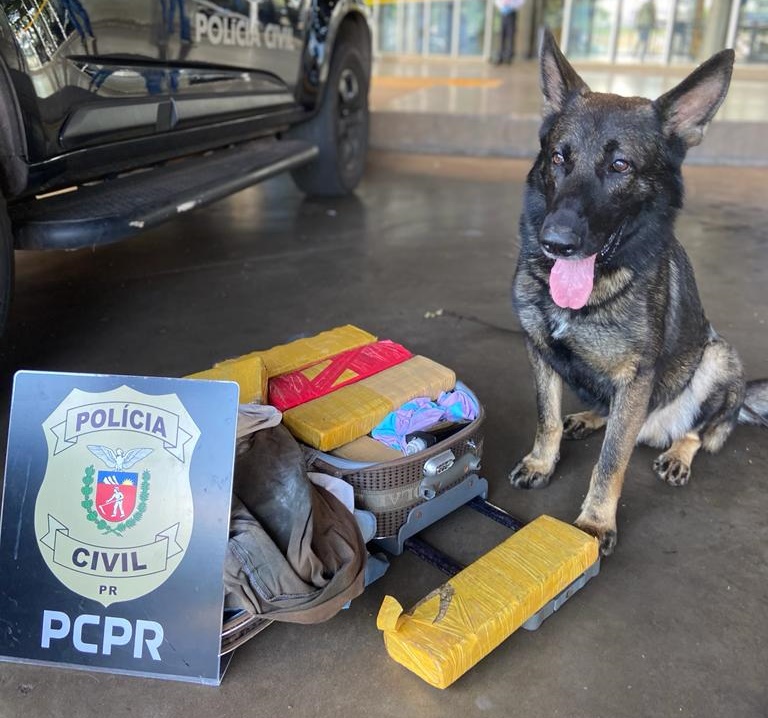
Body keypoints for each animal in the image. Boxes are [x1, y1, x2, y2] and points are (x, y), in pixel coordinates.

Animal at [510, 29, 768, 556]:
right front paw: (543, 462)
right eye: (559, 157)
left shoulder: (637, 378)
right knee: (612, 416)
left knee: (699, 431)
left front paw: (594, 523)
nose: (555, 242)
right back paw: (590, 417)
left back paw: (678, 453)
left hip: (717, 357)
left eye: (620, 165)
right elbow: (547, 418)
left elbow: (611, 460)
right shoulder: (539, 352)